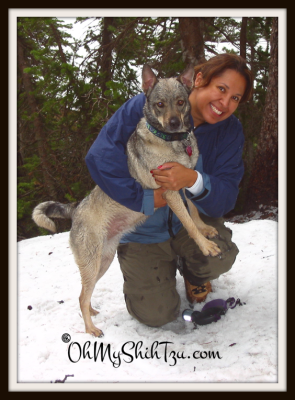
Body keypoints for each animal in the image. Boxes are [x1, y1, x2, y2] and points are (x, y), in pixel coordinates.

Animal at [32, 65, 222, 338]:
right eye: (160, 104)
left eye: (180, 102)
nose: (174, 122)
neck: (174, 141)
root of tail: (76, 208)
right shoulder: (170, 191)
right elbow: (187, 222)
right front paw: (205, 246)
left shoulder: (186, 181)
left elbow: (194, 211)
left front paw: (206, 229)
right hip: (92, 263)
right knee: (81, 297)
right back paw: (91, 329)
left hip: (103, 261)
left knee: (83, 295)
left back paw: (92, 313)